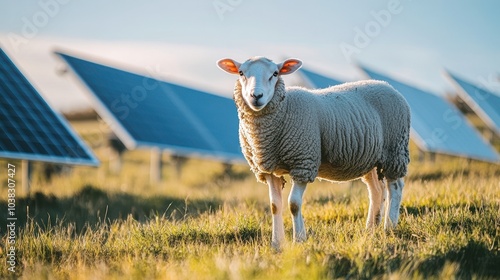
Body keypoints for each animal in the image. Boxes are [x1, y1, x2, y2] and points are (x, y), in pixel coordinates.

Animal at [216, 57, 410, 249]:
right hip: (370, 159)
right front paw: (277, 244)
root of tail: (388, 86)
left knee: (395, 188)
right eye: (241, 73)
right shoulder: (268, 169)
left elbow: (293, 204)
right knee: (377, 191)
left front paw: (299, 239)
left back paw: (389, 227)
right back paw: (371, 229)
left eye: (275, 74)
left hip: (395, 151)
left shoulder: (303, 163)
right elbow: (274, 205)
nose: (256, 96)